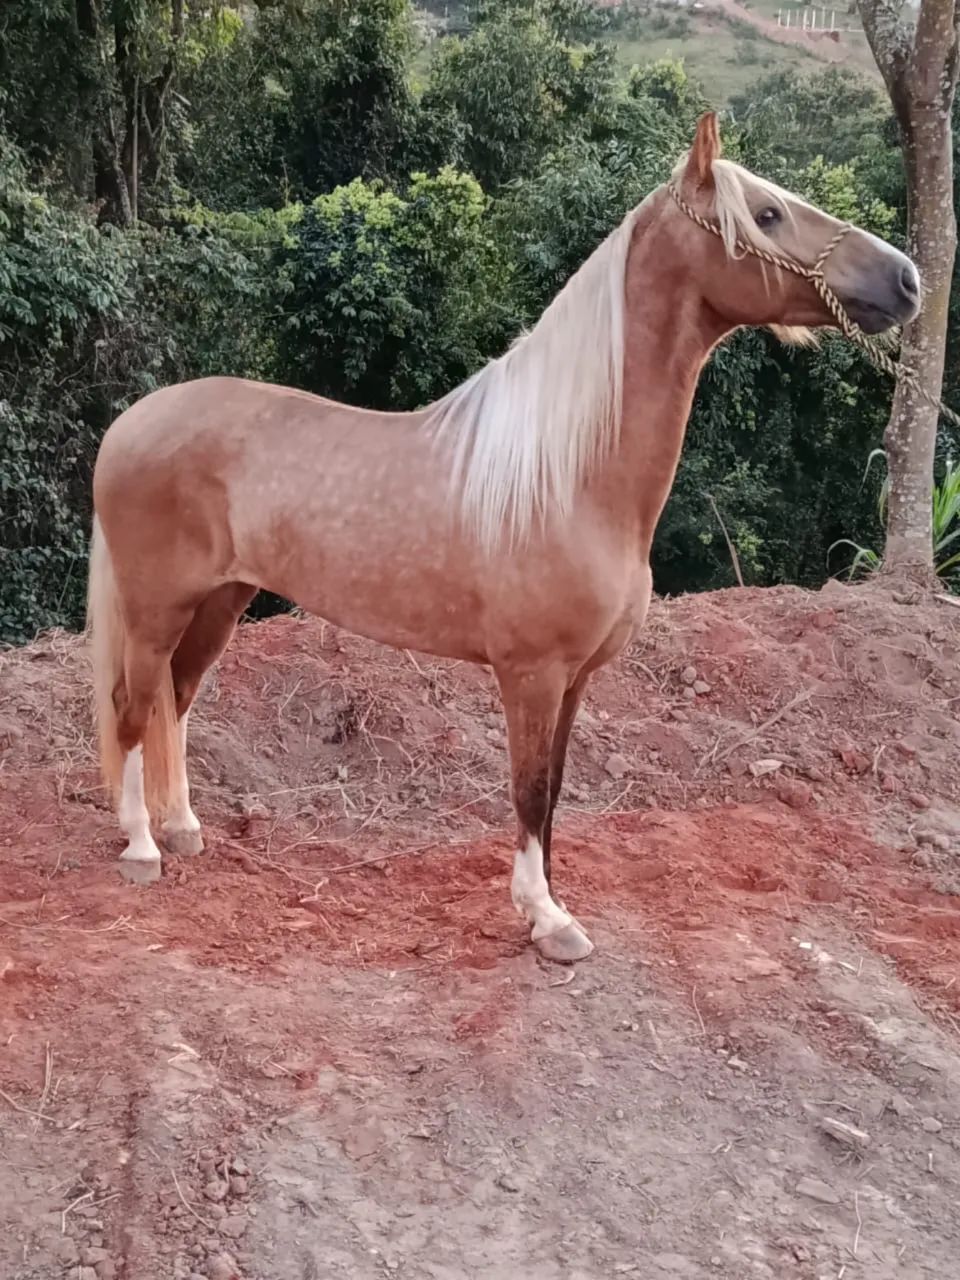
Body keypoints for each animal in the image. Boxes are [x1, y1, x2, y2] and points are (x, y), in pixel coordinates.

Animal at [87, 113, 920, 963]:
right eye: (767, 215)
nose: (908, 281)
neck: (571, 476)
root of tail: (131, 423)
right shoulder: (532, 673)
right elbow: (526, 789)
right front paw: (548, 920)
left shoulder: (577, 679)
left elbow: (551, 791)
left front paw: (550, 901)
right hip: (157, 608)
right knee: (133, 705)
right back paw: (142, 847)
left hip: (221, 601)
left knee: (174, 700)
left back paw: (182, 828)